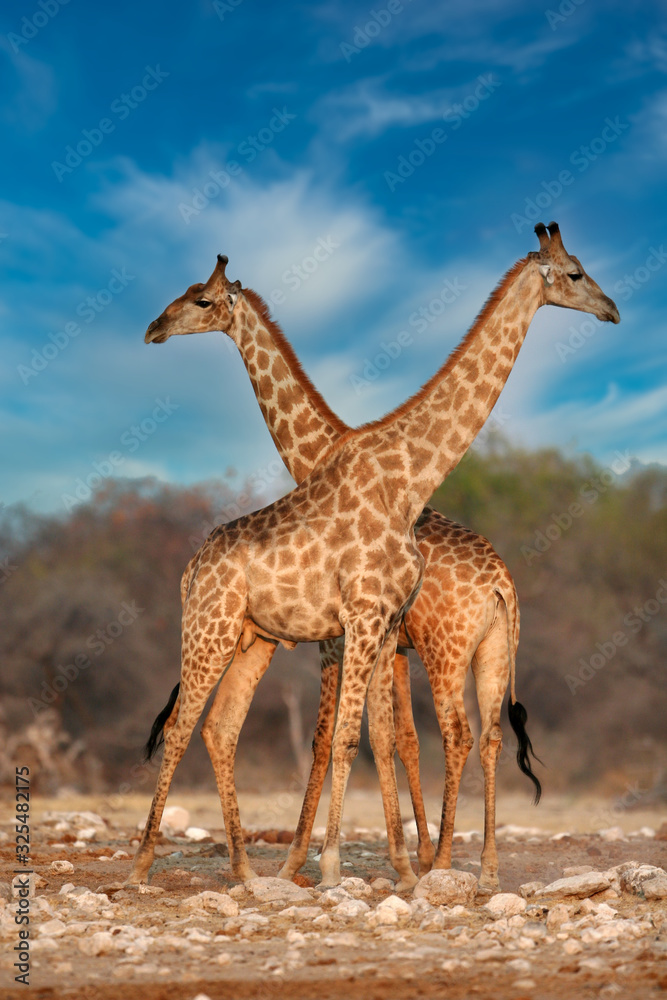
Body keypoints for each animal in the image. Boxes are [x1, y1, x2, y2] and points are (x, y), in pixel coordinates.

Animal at [131, 223, 619, 890]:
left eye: (200, 299)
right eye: (576, 272)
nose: (612, 309)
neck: (402, 475)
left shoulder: (373, 627)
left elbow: (367, 736)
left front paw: (382, 864)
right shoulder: (356, 628)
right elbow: (357, 738)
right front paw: (348, 862)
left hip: (302, 640)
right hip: (224, 631)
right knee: (189, 724)